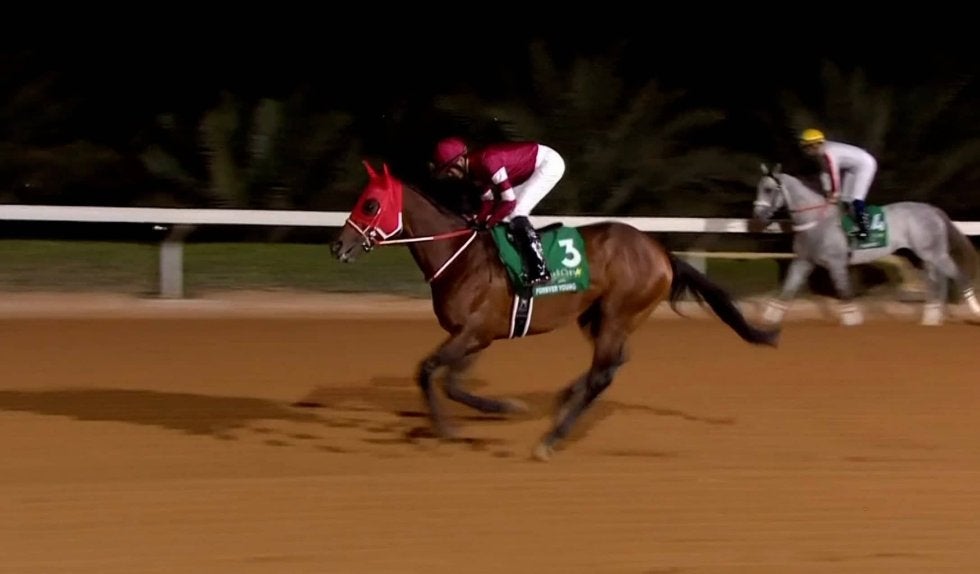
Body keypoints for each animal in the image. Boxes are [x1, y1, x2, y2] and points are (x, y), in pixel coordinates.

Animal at [330, 161, 780, 461]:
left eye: (370, 205)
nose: (338, 246)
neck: (460, 258)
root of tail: (660, 251)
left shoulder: (473, 331)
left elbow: (427, 372)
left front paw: (447, 428)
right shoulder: (476, 335)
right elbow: (454, 383)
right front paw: (504, 409)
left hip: (617, 311)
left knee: (603, 373)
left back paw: (551, 438)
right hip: (600, 316)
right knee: (615, 361)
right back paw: (565, 398)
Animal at [752, 163, 980, 326]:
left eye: (769, 190)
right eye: (759, 189)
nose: (758, 215)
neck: (816, 221)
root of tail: (933, 210)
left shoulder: (836, 263)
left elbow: (843, 291)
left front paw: (852, 319)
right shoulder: (803, 261)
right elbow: (787, 289)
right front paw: (769, 319)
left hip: (935, 253)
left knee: (958, 276)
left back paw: (973, 311)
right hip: (927, 255)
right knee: (938, 281)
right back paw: (931, 319)